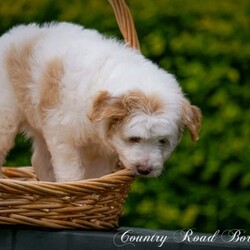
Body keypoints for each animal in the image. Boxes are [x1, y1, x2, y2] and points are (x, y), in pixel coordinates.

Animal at [0, 22, 200, 182]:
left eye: (162, 141)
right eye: (134, 138)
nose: (144, 169)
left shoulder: (101, 152)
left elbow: (96, 176)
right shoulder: (63, 138)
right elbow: (70, 173)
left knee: (38, 160)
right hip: (7, 118)